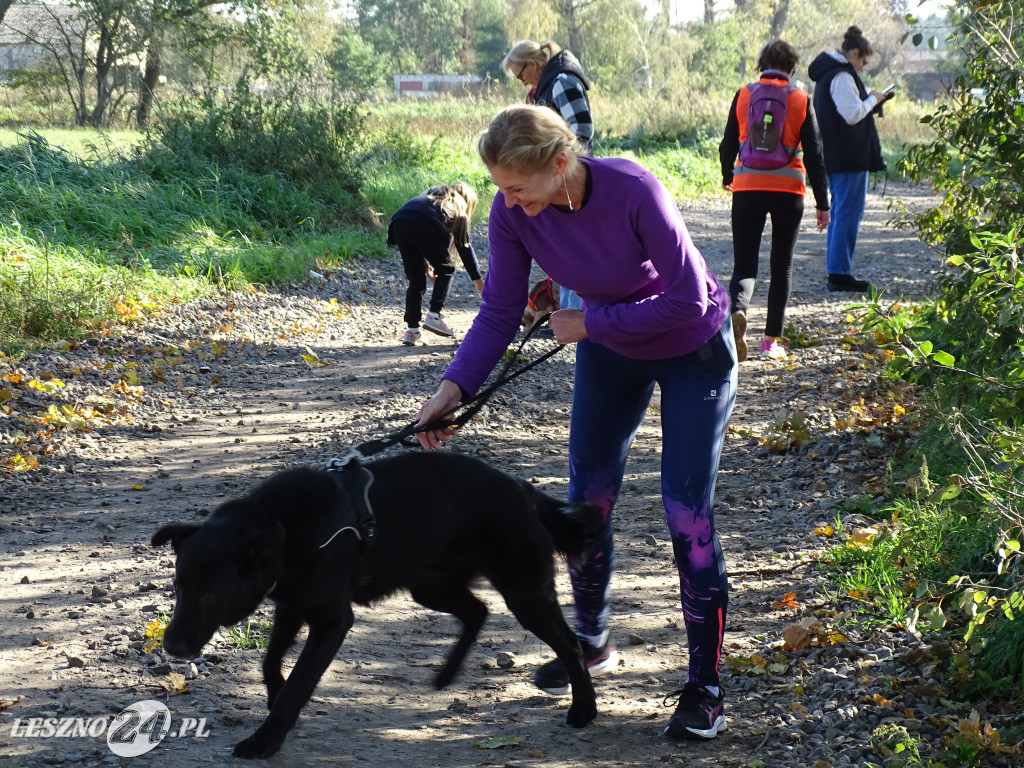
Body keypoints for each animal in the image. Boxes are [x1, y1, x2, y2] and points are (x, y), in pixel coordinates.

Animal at [150, 454, 598, 761]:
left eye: (210, 596)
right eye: (177, 588)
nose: (171, 648)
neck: (286, 526)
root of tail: (522, 489)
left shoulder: (330, 622)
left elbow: (299, 681)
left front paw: (267, 737)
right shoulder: (291, 607)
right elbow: (271, 661)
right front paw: (274, 694)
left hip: (525, 595)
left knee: (569, 645)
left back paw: (584, 709)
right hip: (428, 586)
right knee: (477, 611)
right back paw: (446, 675)